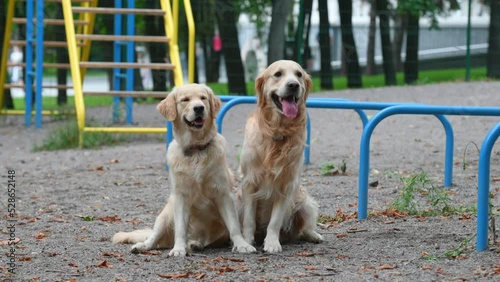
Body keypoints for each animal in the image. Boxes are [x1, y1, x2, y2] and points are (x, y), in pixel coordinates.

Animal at [112, 82, 256, 256]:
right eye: (185, 100)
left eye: (203, 98)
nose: (199, 108)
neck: (196, 149)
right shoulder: (181, 195)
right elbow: (180, 228)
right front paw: (178, 249)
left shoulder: (222, 193)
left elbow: (234, 226)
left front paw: (242, 245)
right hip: (166, 214)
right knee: (154, 237)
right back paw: (144, 246)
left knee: (205, 240)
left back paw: (195, 244)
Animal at [239, 60, 324, 252]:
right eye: (278, 74)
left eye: (299, 74)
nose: (293, 85)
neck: (278, 132)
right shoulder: (249, 182)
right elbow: (248, 220)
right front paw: (246, 242)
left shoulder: (286, 185)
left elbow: (275, 221)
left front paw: (271, 243)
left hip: (304, 201)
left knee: (302, 229)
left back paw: (313, 235)